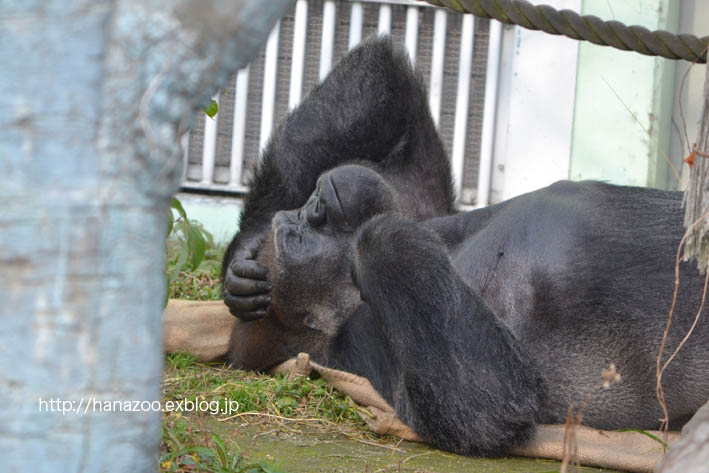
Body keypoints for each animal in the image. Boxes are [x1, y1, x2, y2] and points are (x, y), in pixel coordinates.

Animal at [224, 37, 708, 458]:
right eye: (296, 236)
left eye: (302, 219)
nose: (316, 203)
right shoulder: (358, 347)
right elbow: (488, 406)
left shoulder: (420, 205)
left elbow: (391, 92)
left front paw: (243, 255)